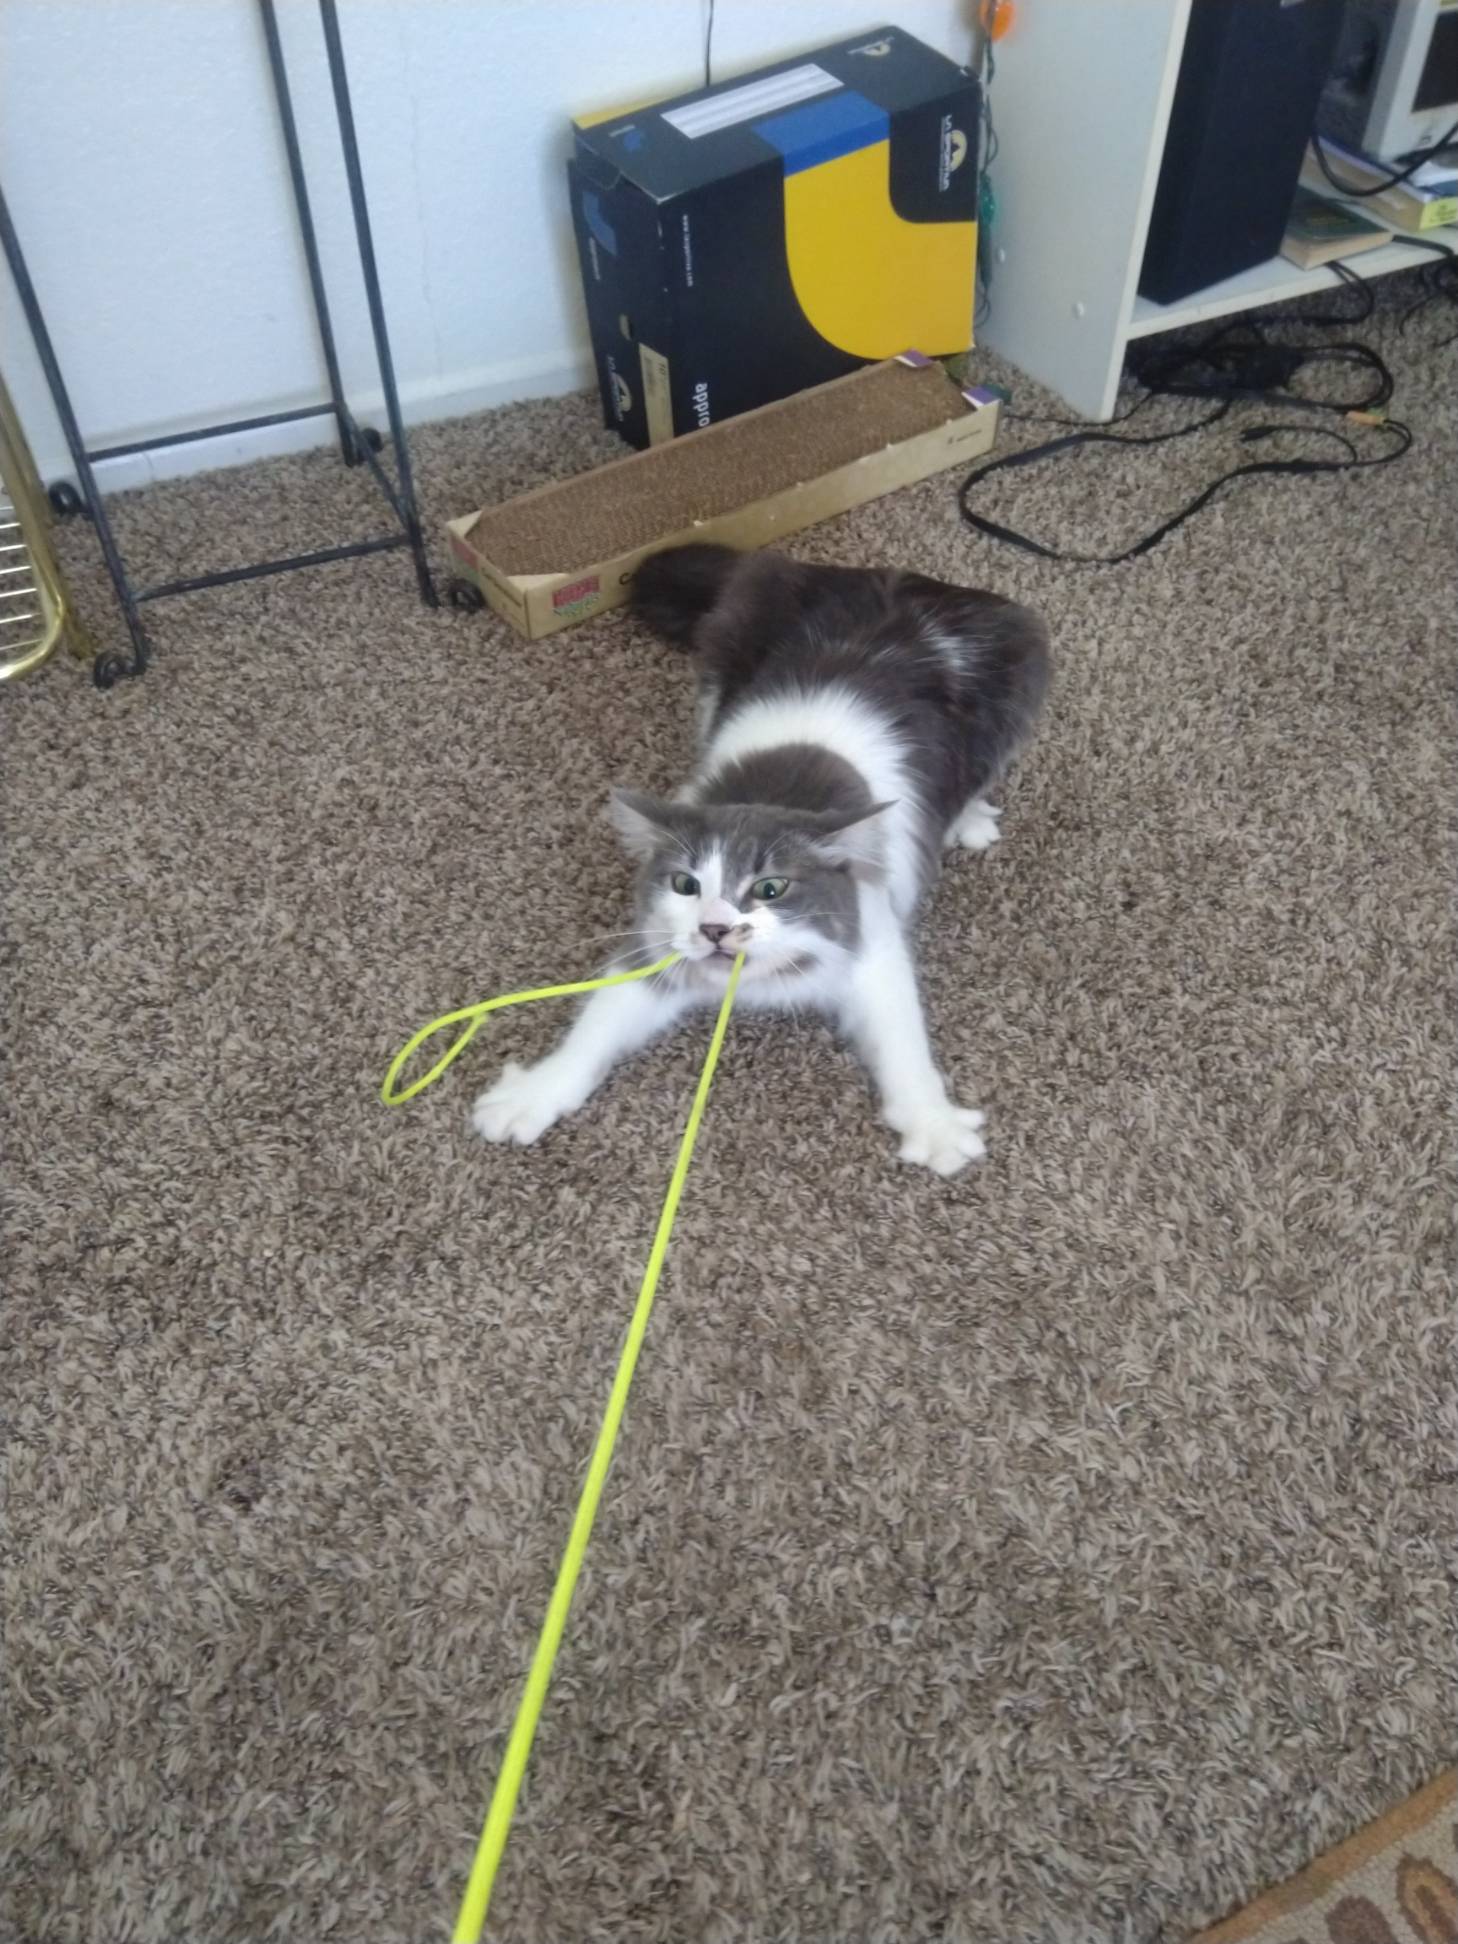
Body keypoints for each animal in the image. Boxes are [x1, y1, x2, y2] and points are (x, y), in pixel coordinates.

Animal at [472, 543, 1050, 1175]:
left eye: (771, 889)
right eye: (686, 885)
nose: (716, 928)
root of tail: (897, 577)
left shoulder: (871, 942)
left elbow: (904, 1043)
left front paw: (935, 1126)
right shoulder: (653, 949)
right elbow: (594, 1028)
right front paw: (531, 1096)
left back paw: (966, 821)